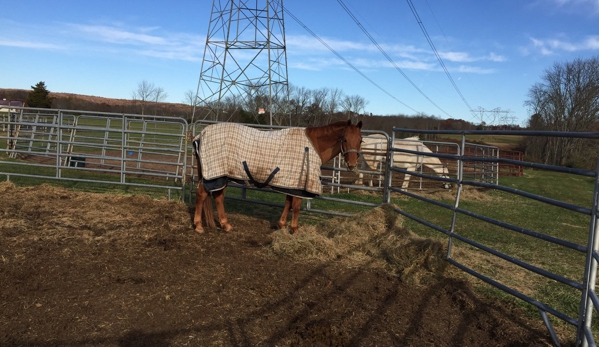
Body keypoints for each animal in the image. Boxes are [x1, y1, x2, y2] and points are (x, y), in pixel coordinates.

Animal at [193, 119, 360, 234]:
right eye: (345, 139)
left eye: (360, 141)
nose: (352, 164)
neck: (313, 145)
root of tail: (201, 134)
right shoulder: (298, 185)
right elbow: (296, 206)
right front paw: (295, 229)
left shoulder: (291, 184)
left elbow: (288, 203)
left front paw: (282, 225)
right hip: (214, 176)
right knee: (201, 194)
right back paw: (198, 225)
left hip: (222, 176)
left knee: (218, 197)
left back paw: (225, 225)